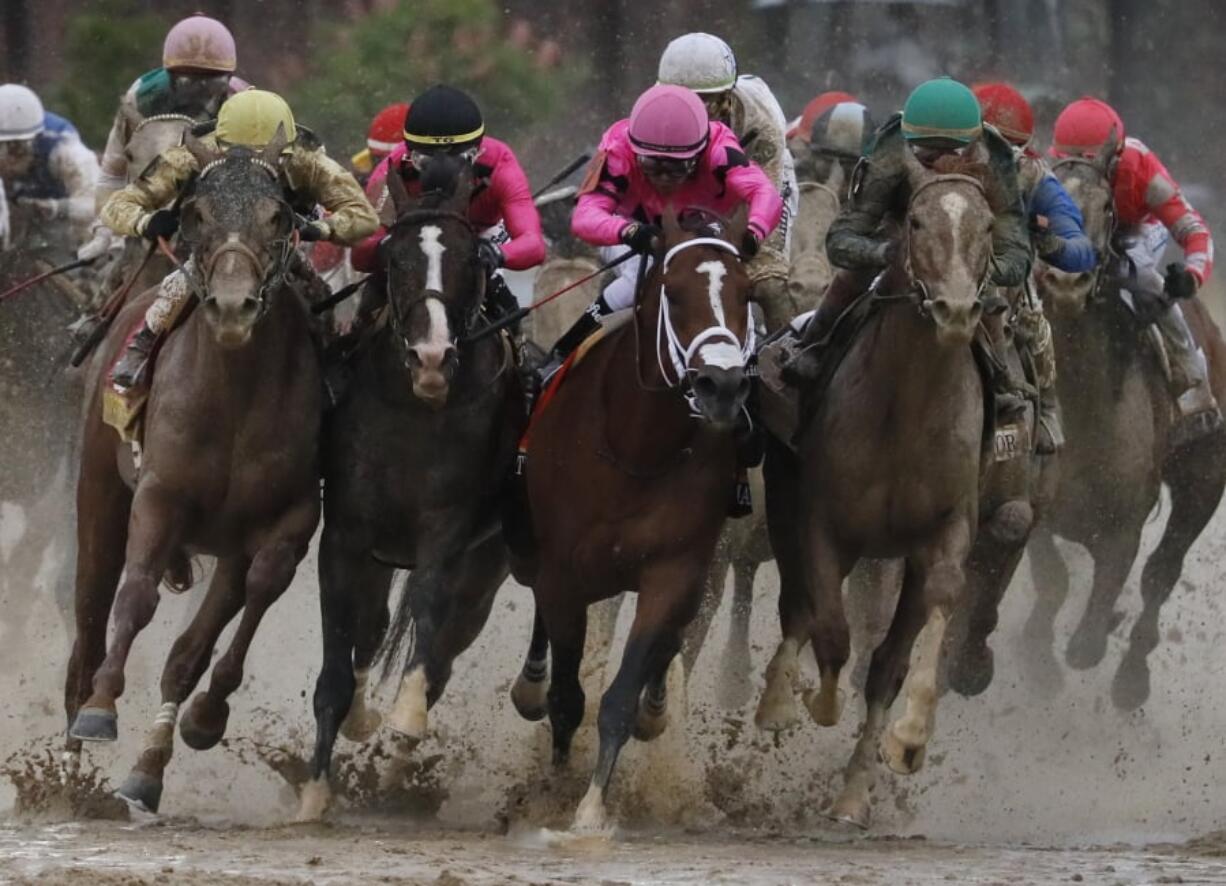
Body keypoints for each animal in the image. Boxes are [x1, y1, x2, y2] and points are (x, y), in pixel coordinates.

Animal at [64, 135, 323, 813]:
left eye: (278, 216)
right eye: (197, 213)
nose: (233, 305)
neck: (232, 397)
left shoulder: (289, 516)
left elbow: (250, 596)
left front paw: (202, 718)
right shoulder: (159, 496)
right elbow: (136, 597)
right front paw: (101, 709)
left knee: (193, 639)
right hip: (97, 492)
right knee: (89, 621)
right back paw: (68, 760)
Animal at [301, 154, 522, 823]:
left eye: (472, 260)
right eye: (394, 259)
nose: (431, 357)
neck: (414, 410)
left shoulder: (446, 533)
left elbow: (426, 611)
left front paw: (405, 715)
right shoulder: (346, 537)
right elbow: (338, 662)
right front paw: (314, 791)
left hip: (485, 571)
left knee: (445, 646)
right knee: (371, 631)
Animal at [507, 208, 755, 833]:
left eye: (747, 293)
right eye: (674, 290)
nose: (721, 386)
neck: (636, 447)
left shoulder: (672, 570)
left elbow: (620, 693)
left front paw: (592, 806)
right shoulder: (564, 575)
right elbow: (567, 697)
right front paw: (551, 790)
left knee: (675, 640)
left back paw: (656, 707)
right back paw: (530, 686)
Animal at [765, 171, 995, 823]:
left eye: (987, 224)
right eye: (915, 222)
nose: (956, 310)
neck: (909, 406)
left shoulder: (945, 529)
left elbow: (909, 639)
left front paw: (909, 738)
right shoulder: (823, 523)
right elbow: (829, 629)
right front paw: (810, 701)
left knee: (881, 657)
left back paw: (852, 790)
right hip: (783, 505)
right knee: (798, 607)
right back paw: (777, 699)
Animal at [1024, 150, 1226, 705]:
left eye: (1105, 206)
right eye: (1043, 208)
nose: (1064, 281)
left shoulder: (1124, 525)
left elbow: (1088, 643)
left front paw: (1100, 633)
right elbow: (1052, 580)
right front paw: (1038, 662)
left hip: (1205, 475)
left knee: (1162, 572)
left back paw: (1133, 678)